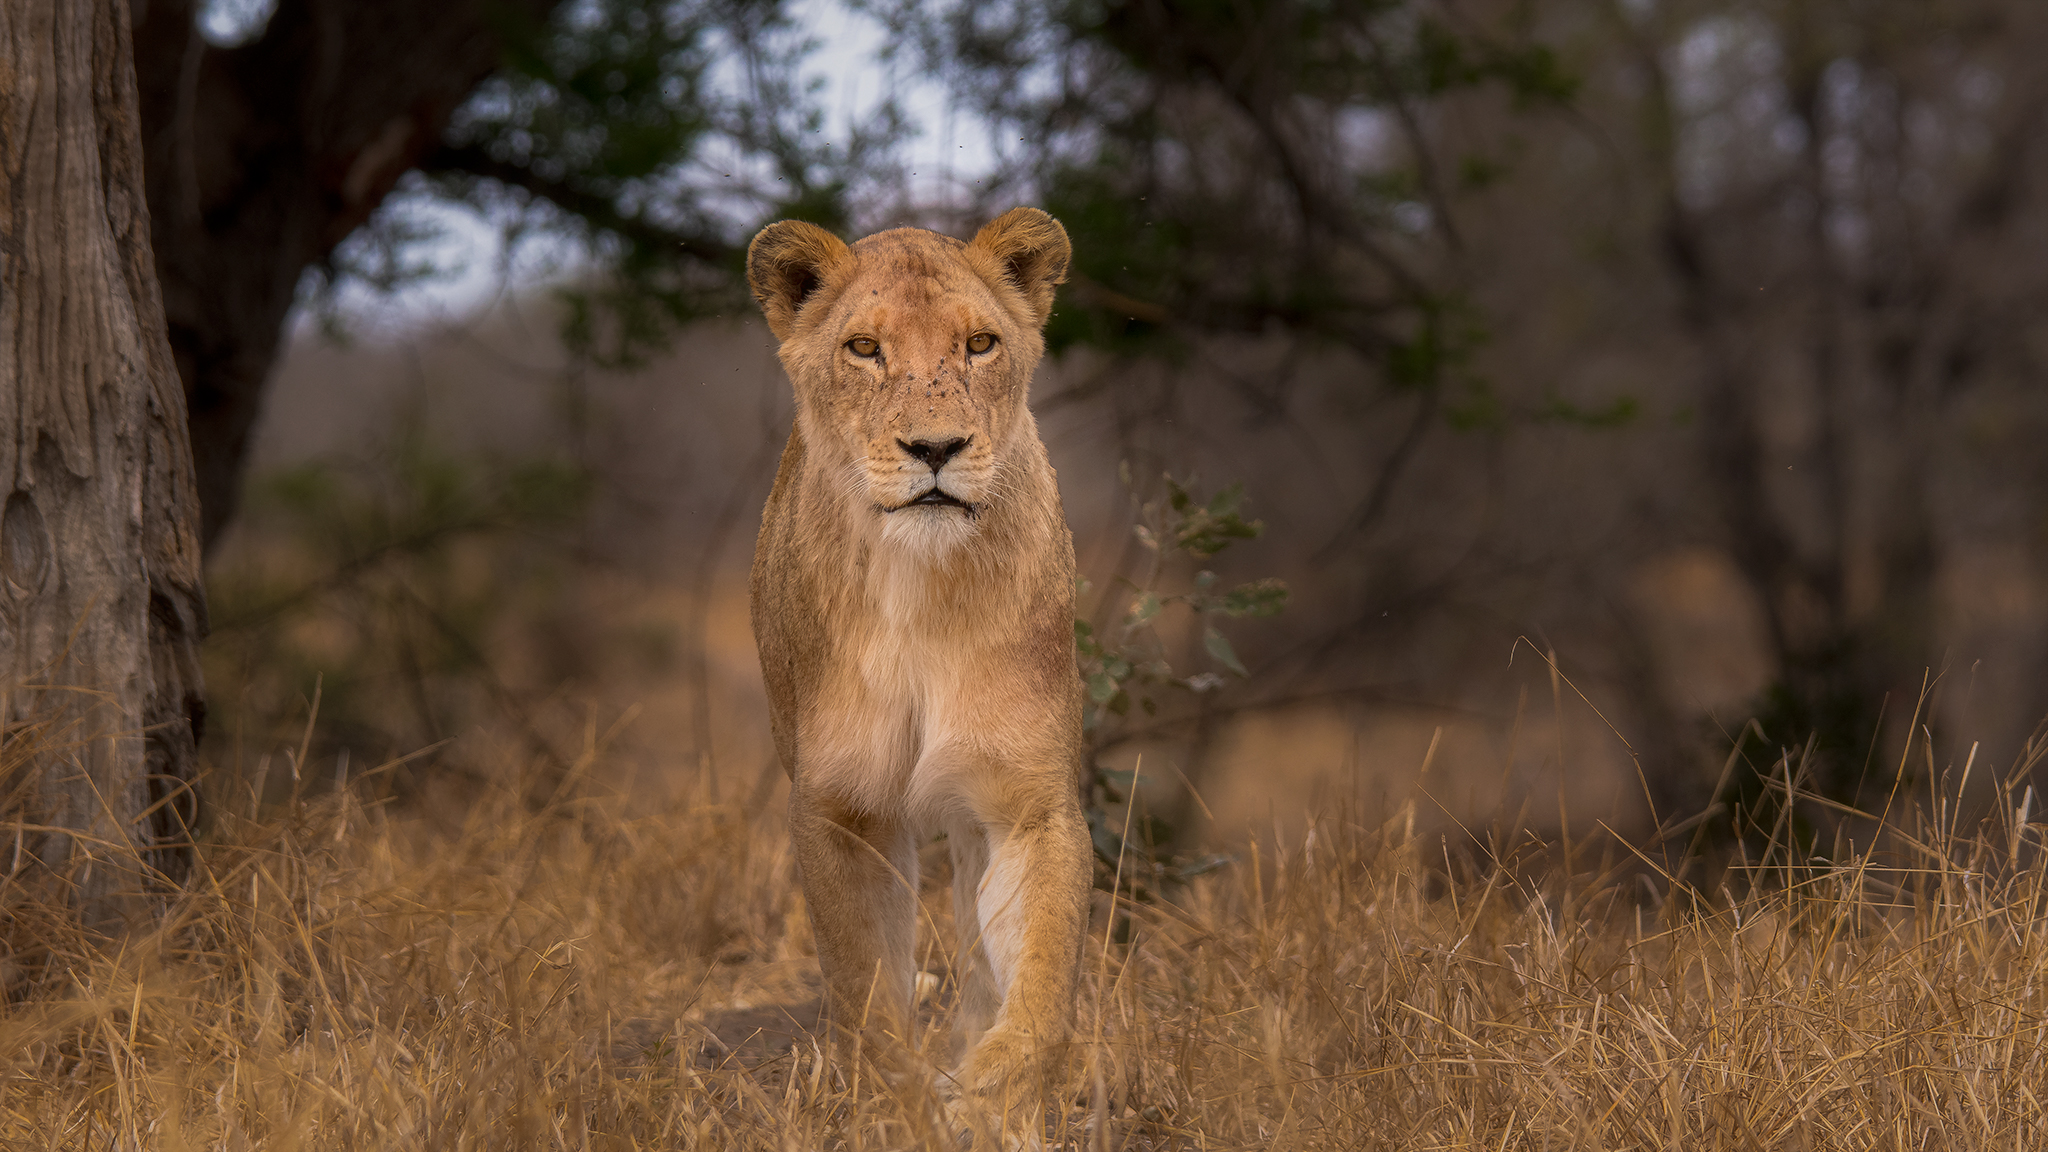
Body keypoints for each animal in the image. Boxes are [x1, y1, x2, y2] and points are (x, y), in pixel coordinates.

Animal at [744, 208, 1094, 1138]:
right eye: (865, 349)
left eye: (979, 343)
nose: (935, 448)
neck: (919, 590)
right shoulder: (839, 810)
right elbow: (866, 994)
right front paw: (895, 1106)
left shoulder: (1027, 801)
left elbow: (1042, 980)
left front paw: (993, 1091)